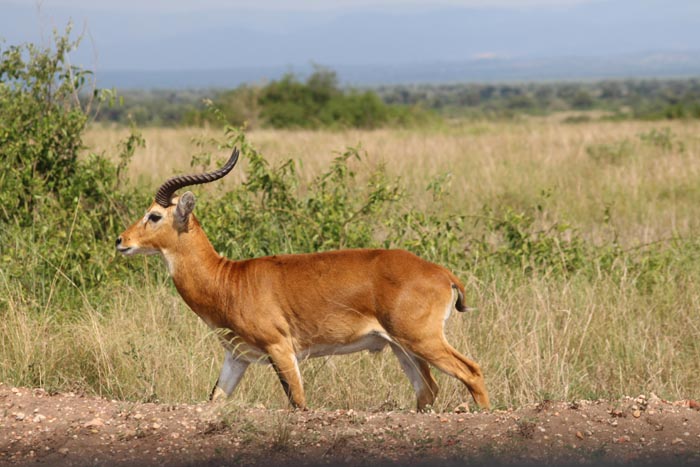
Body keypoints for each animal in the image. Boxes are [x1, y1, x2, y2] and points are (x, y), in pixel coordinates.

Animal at [117, 150, 490, 414]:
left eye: (154, 215)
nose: (121, 241)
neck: (227, 279)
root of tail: (441, 273)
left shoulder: (280, 349)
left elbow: (298, 402)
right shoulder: (236, 357)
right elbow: (215, 398)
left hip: (422, 340)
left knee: (471, 371)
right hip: (402, 347)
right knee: (427, 389)